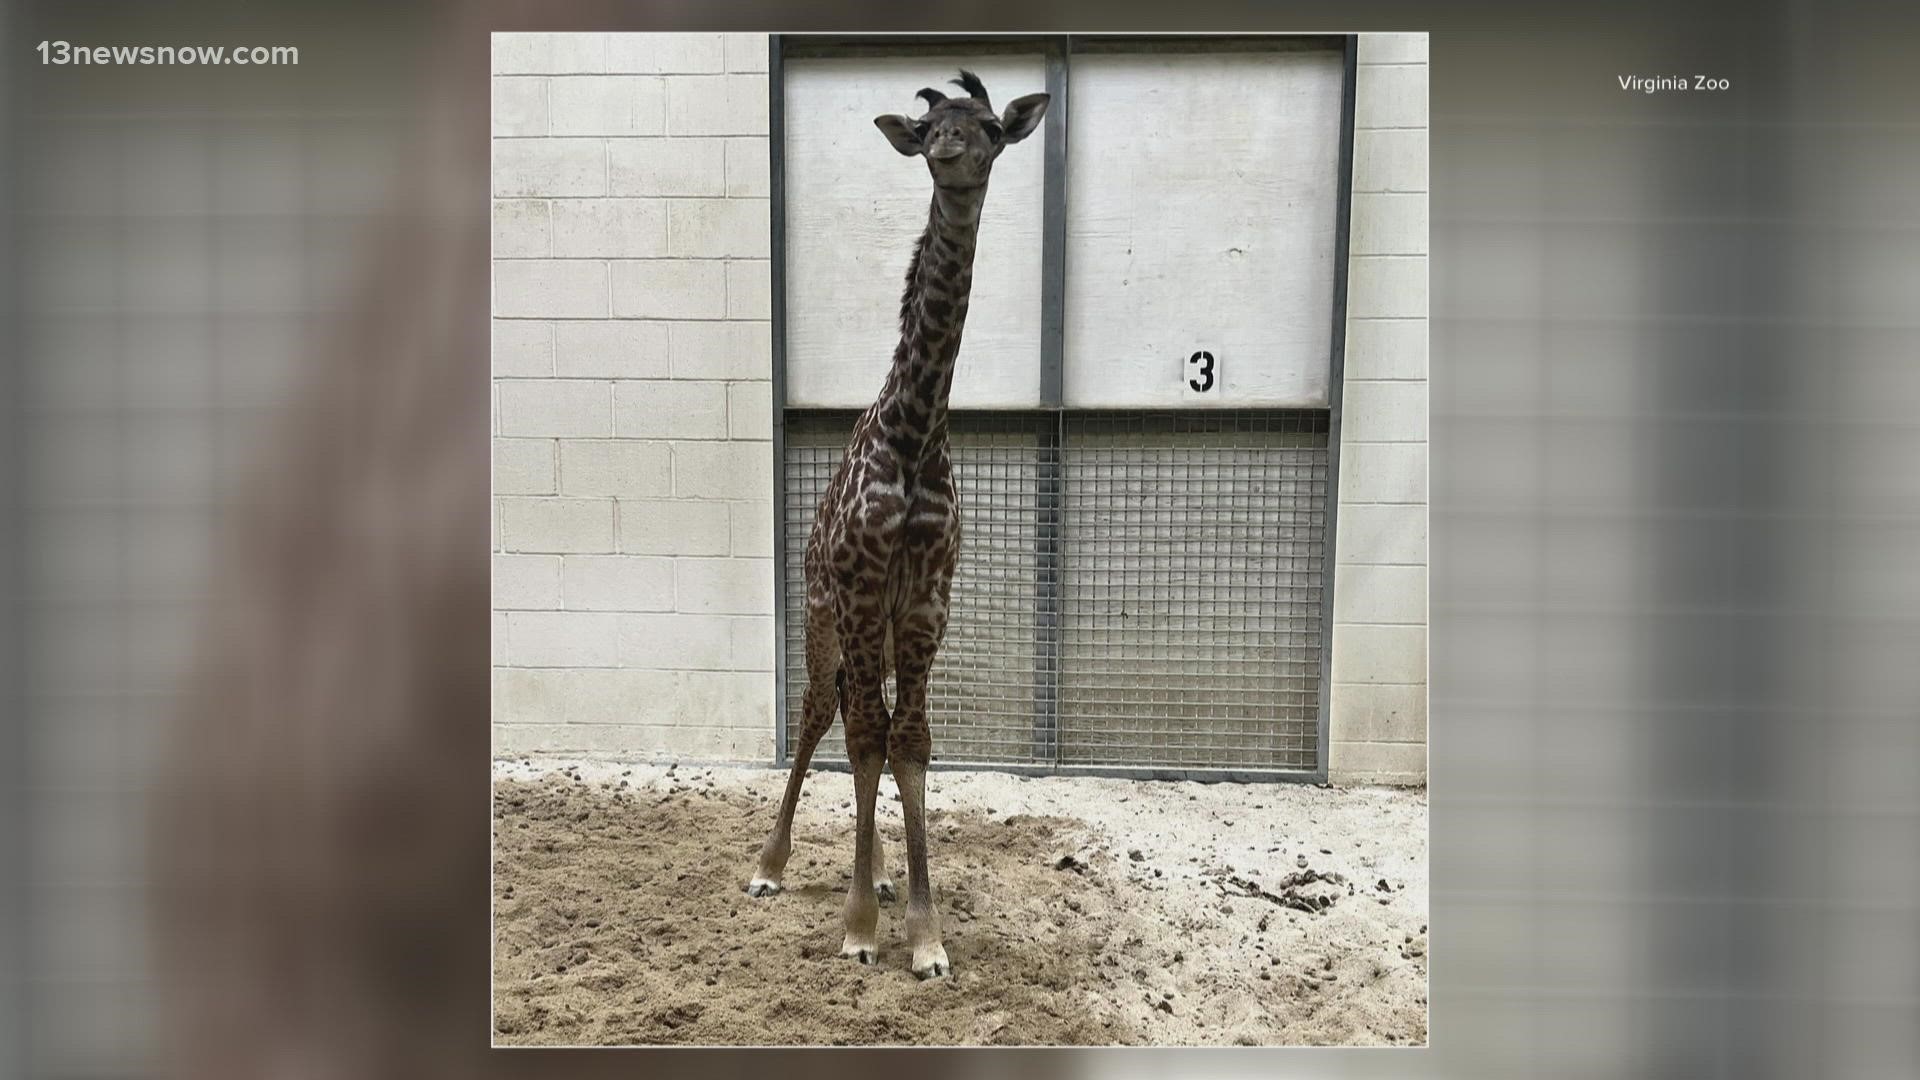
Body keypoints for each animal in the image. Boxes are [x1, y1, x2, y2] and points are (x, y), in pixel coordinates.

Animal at [744, 69, 1052, 976]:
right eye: (929, 125)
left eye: (989, 125)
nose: (949, 150)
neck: (914, 435)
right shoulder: (859, 587)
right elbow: (863, 737)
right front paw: (855, 929)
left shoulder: (923, 599)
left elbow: (908, 741)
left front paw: (922, 933)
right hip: (825, 616)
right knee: (823, 714)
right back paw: (771, 866)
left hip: (872, 629)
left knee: (867, 721)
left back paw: (878, 874)